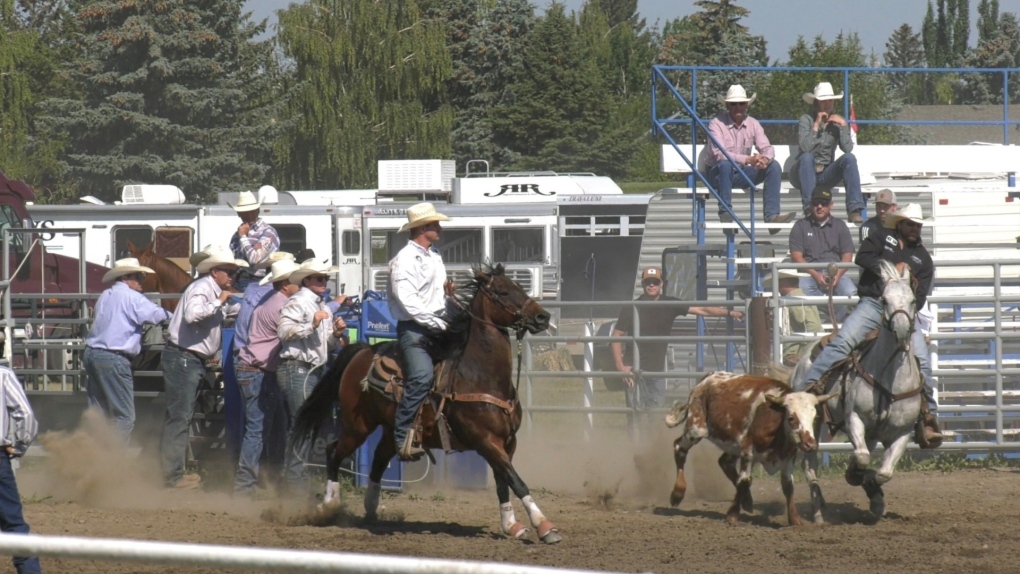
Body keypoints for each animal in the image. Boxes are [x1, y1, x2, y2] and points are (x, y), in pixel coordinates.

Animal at [289, 265, 567, 542]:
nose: (542, 317)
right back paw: (329, 505)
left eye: (520, 287)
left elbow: (503, 482)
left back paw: (371, 508)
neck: (480, 377)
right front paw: (544, 526)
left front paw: (511, 524)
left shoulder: (508, 442)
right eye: (503, 291)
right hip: (358, 426)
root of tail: (362, 351)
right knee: (333, 451)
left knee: (378, 461)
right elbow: (516, 480)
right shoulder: (485, 441)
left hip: (390, 430)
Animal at [787, 258, 926, 522]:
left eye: (913, 300)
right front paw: (856, 476)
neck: (890, 377)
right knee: (810, 465)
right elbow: (861, 458)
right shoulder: (854, 418)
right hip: (812, 421)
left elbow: (883, 473)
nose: (902, 332)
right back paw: (818, 511)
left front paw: (875, 495)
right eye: (884, 300)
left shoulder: (902, 431)